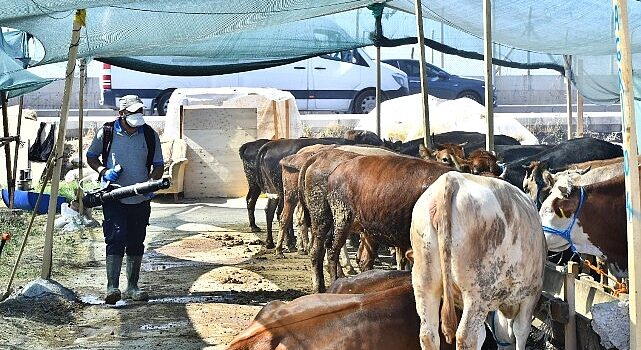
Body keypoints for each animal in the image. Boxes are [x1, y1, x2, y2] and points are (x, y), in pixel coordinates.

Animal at [410, 173, 544, 350]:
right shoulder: (531, 294)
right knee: (466, 337)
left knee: (428, 334)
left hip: (425, 282)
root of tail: (452, 178)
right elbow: (521, 331)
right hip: (477, 291)